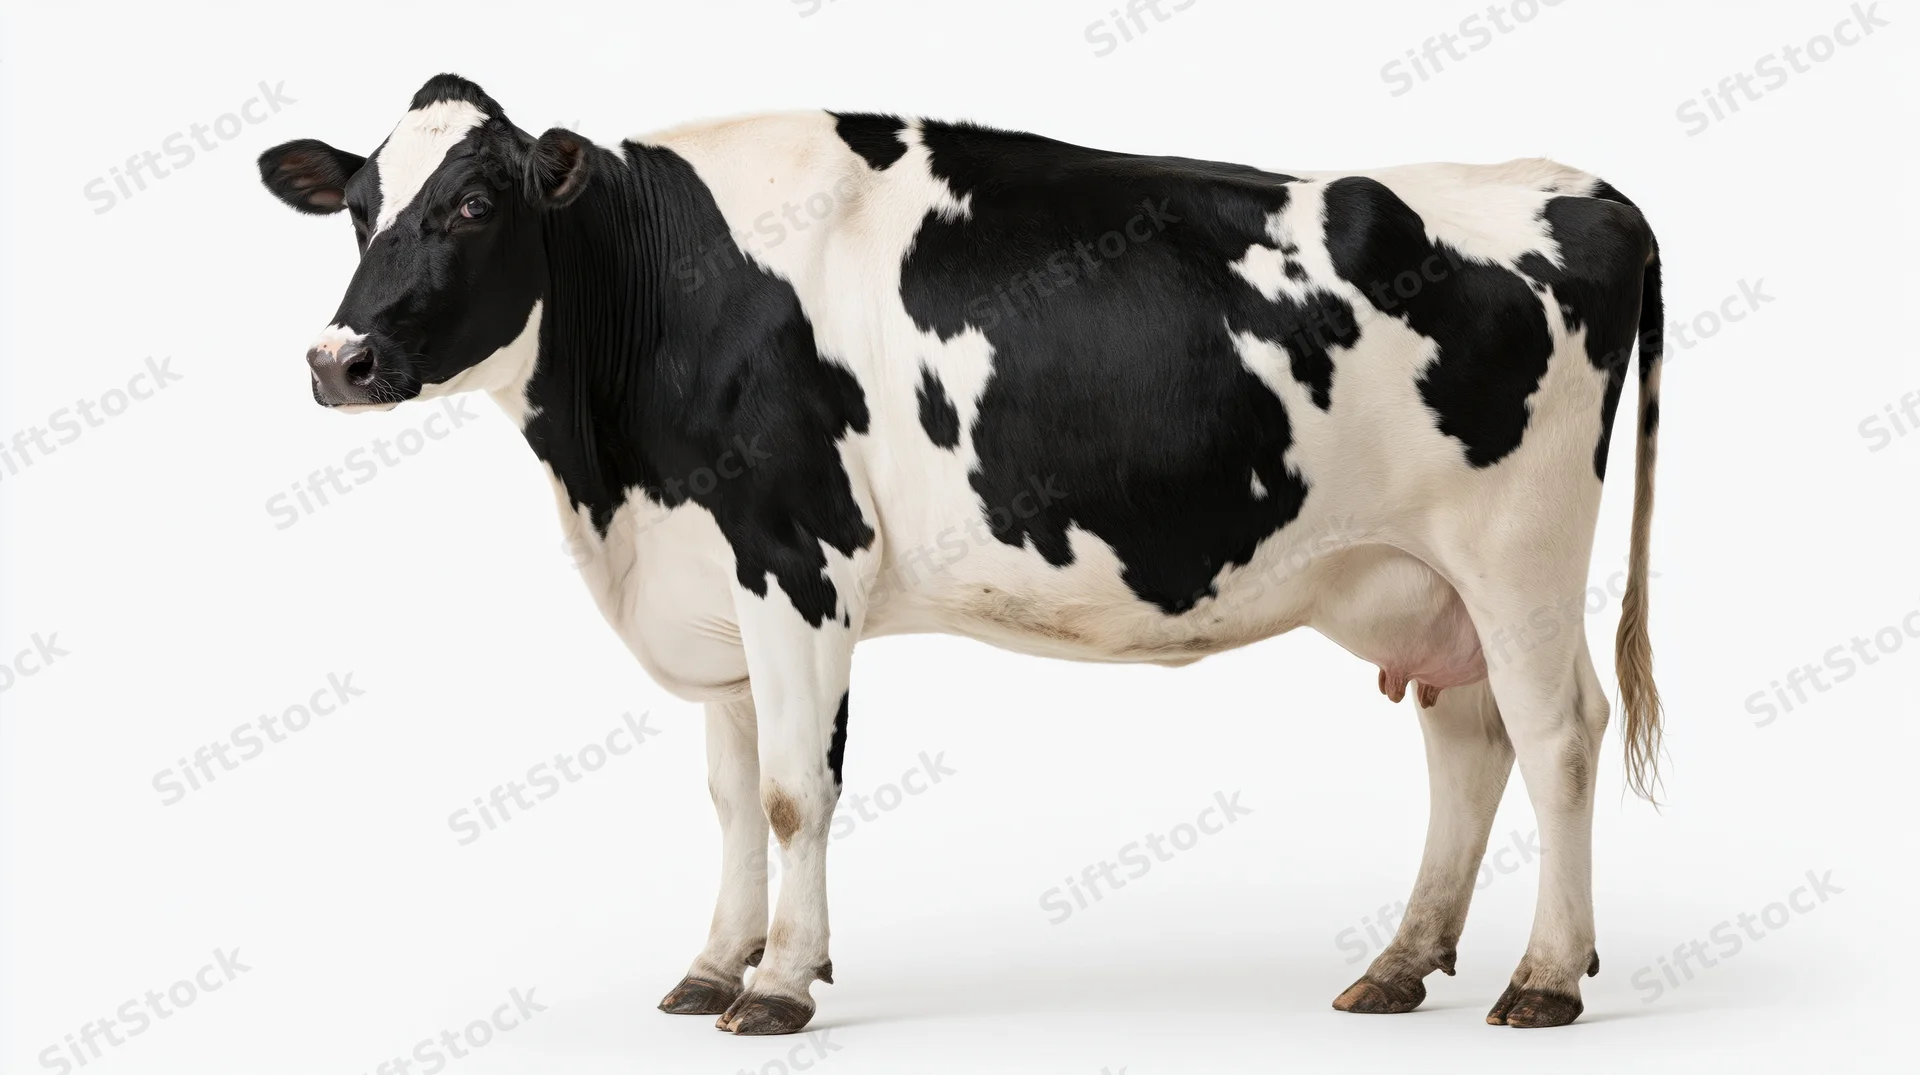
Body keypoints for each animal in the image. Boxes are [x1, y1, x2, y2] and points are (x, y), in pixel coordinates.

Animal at [258, 74, 1665, 1034]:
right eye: (363, 209)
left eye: (473, 202)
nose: (338, 360)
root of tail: (1578, 185)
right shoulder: (716, 584)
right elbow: (730, 795)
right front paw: (715, 962)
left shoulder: (797, 554)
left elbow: (793, 791)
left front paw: (779, 983)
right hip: (1422, 577)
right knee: (1468, 740)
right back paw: (1400, 963)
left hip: (1521, 554)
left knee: (1559, 735)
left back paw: (1546, 976)